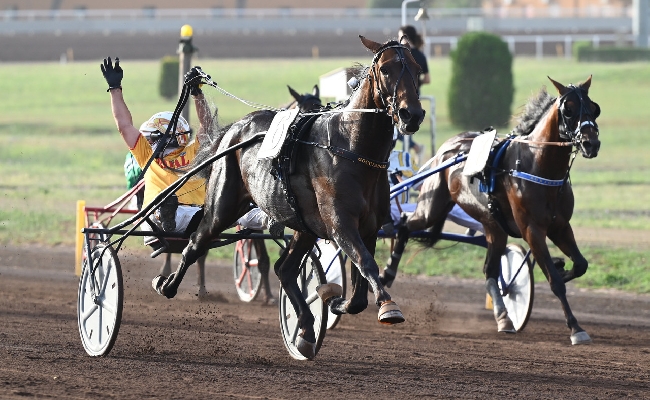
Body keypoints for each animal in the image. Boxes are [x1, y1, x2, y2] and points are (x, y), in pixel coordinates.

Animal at [153, 36, 426, 358]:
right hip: (223, 207)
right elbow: (366, 264)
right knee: (195, 243)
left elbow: (360, 285)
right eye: (385, 69)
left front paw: (336, 300)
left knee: (284, 269)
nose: (412, 114)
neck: (352, 148)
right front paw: (388, 307)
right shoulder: (341, 225)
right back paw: (167, 285)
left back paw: (305, 329)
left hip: (303, 227)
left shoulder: (369, 228)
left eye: (417, 68)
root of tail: (234, 129)